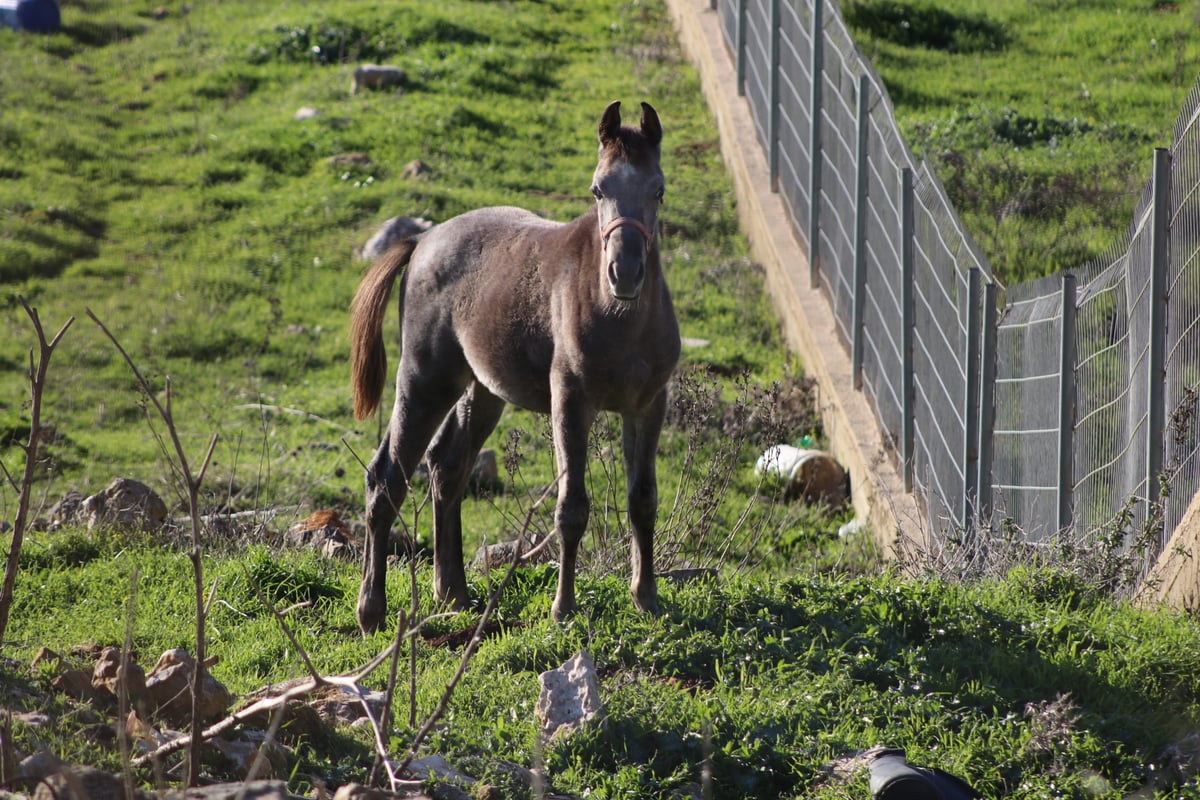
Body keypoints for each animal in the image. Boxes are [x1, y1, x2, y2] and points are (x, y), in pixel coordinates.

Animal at [350, 101, 681, 633]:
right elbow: (572, 508)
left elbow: (642, 500)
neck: (620, 319)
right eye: (598, 188)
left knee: (447, 467)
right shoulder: (570, 400)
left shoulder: (648, 404)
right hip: (424, 381)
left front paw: (646, 598)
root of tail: (422, 240)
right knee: (387, 477)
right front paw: (563, 608)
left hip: (481, 389)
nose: (625, 273)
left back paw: (453, 592)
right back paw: (372, 610)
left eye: (659, 189)